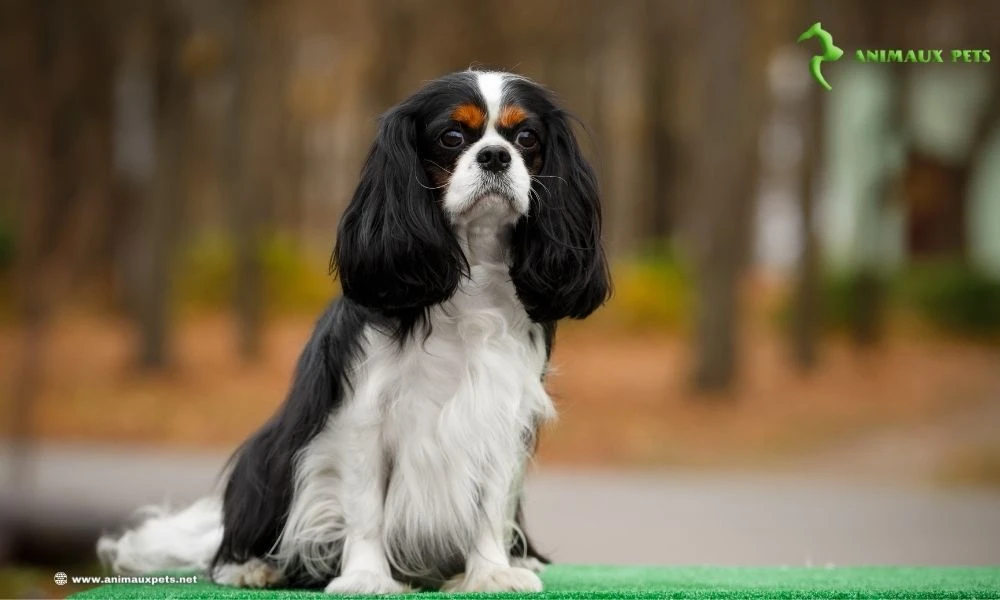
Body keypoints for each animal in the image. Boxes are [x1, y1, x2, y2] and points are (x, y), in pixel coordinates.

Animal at [97, 70, 608, 596]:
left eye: (526, 138)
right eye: (452, 137)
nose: (495, 155)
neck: (472, 267)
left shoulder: (499, 416)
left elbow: (488, 505)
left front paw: (490, 573)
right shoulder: (362, 419)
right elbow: (366, 509)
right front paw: (366, 576)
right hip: (267, 456)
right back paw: (250, 566)